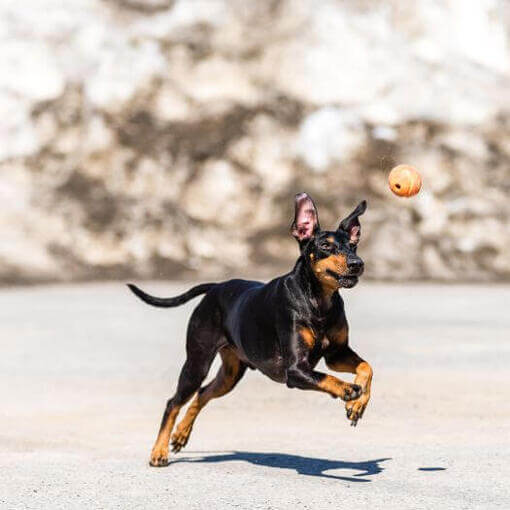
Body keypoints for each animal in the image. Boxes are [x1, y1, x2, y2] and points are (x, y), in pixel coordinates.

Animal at [129, 193, 372, 468]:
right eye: (326, 246)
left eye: (353, 245)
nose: (357, 263)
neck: (319, 301)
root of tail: (215, 288)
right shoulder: (296, 371)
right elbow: (327, 378)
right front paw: (349, 391)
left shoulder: (336, 354)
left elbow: (366, 368)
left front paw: (358, 405)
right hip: (197, 363)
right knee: (174, 401)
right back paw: (158, 452)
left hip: (230, 374)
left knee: (202, 394)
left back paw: (181, 435)